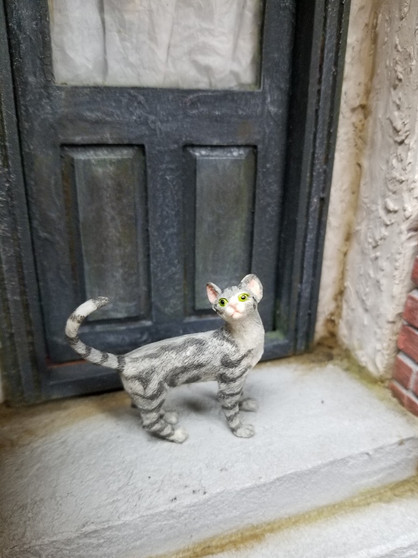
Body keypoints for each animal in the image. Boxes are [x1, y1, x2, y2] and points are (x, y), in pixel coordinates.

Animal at [65, 274, 264, 444]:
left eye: (243, 297)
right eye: (222, 302)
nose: (233, 308)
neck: (247, 337)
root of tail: (125, 359)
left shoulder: (238, 378)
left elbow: (240, 395)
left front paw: (245, 403)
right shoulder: (229, 381)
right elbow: (231, 411)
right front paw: (240, 430)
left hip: (148, 395)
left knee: (139, 407)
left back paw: (167, 416)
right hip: (152, 394)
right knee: (149, 423)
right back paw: (176, 434)